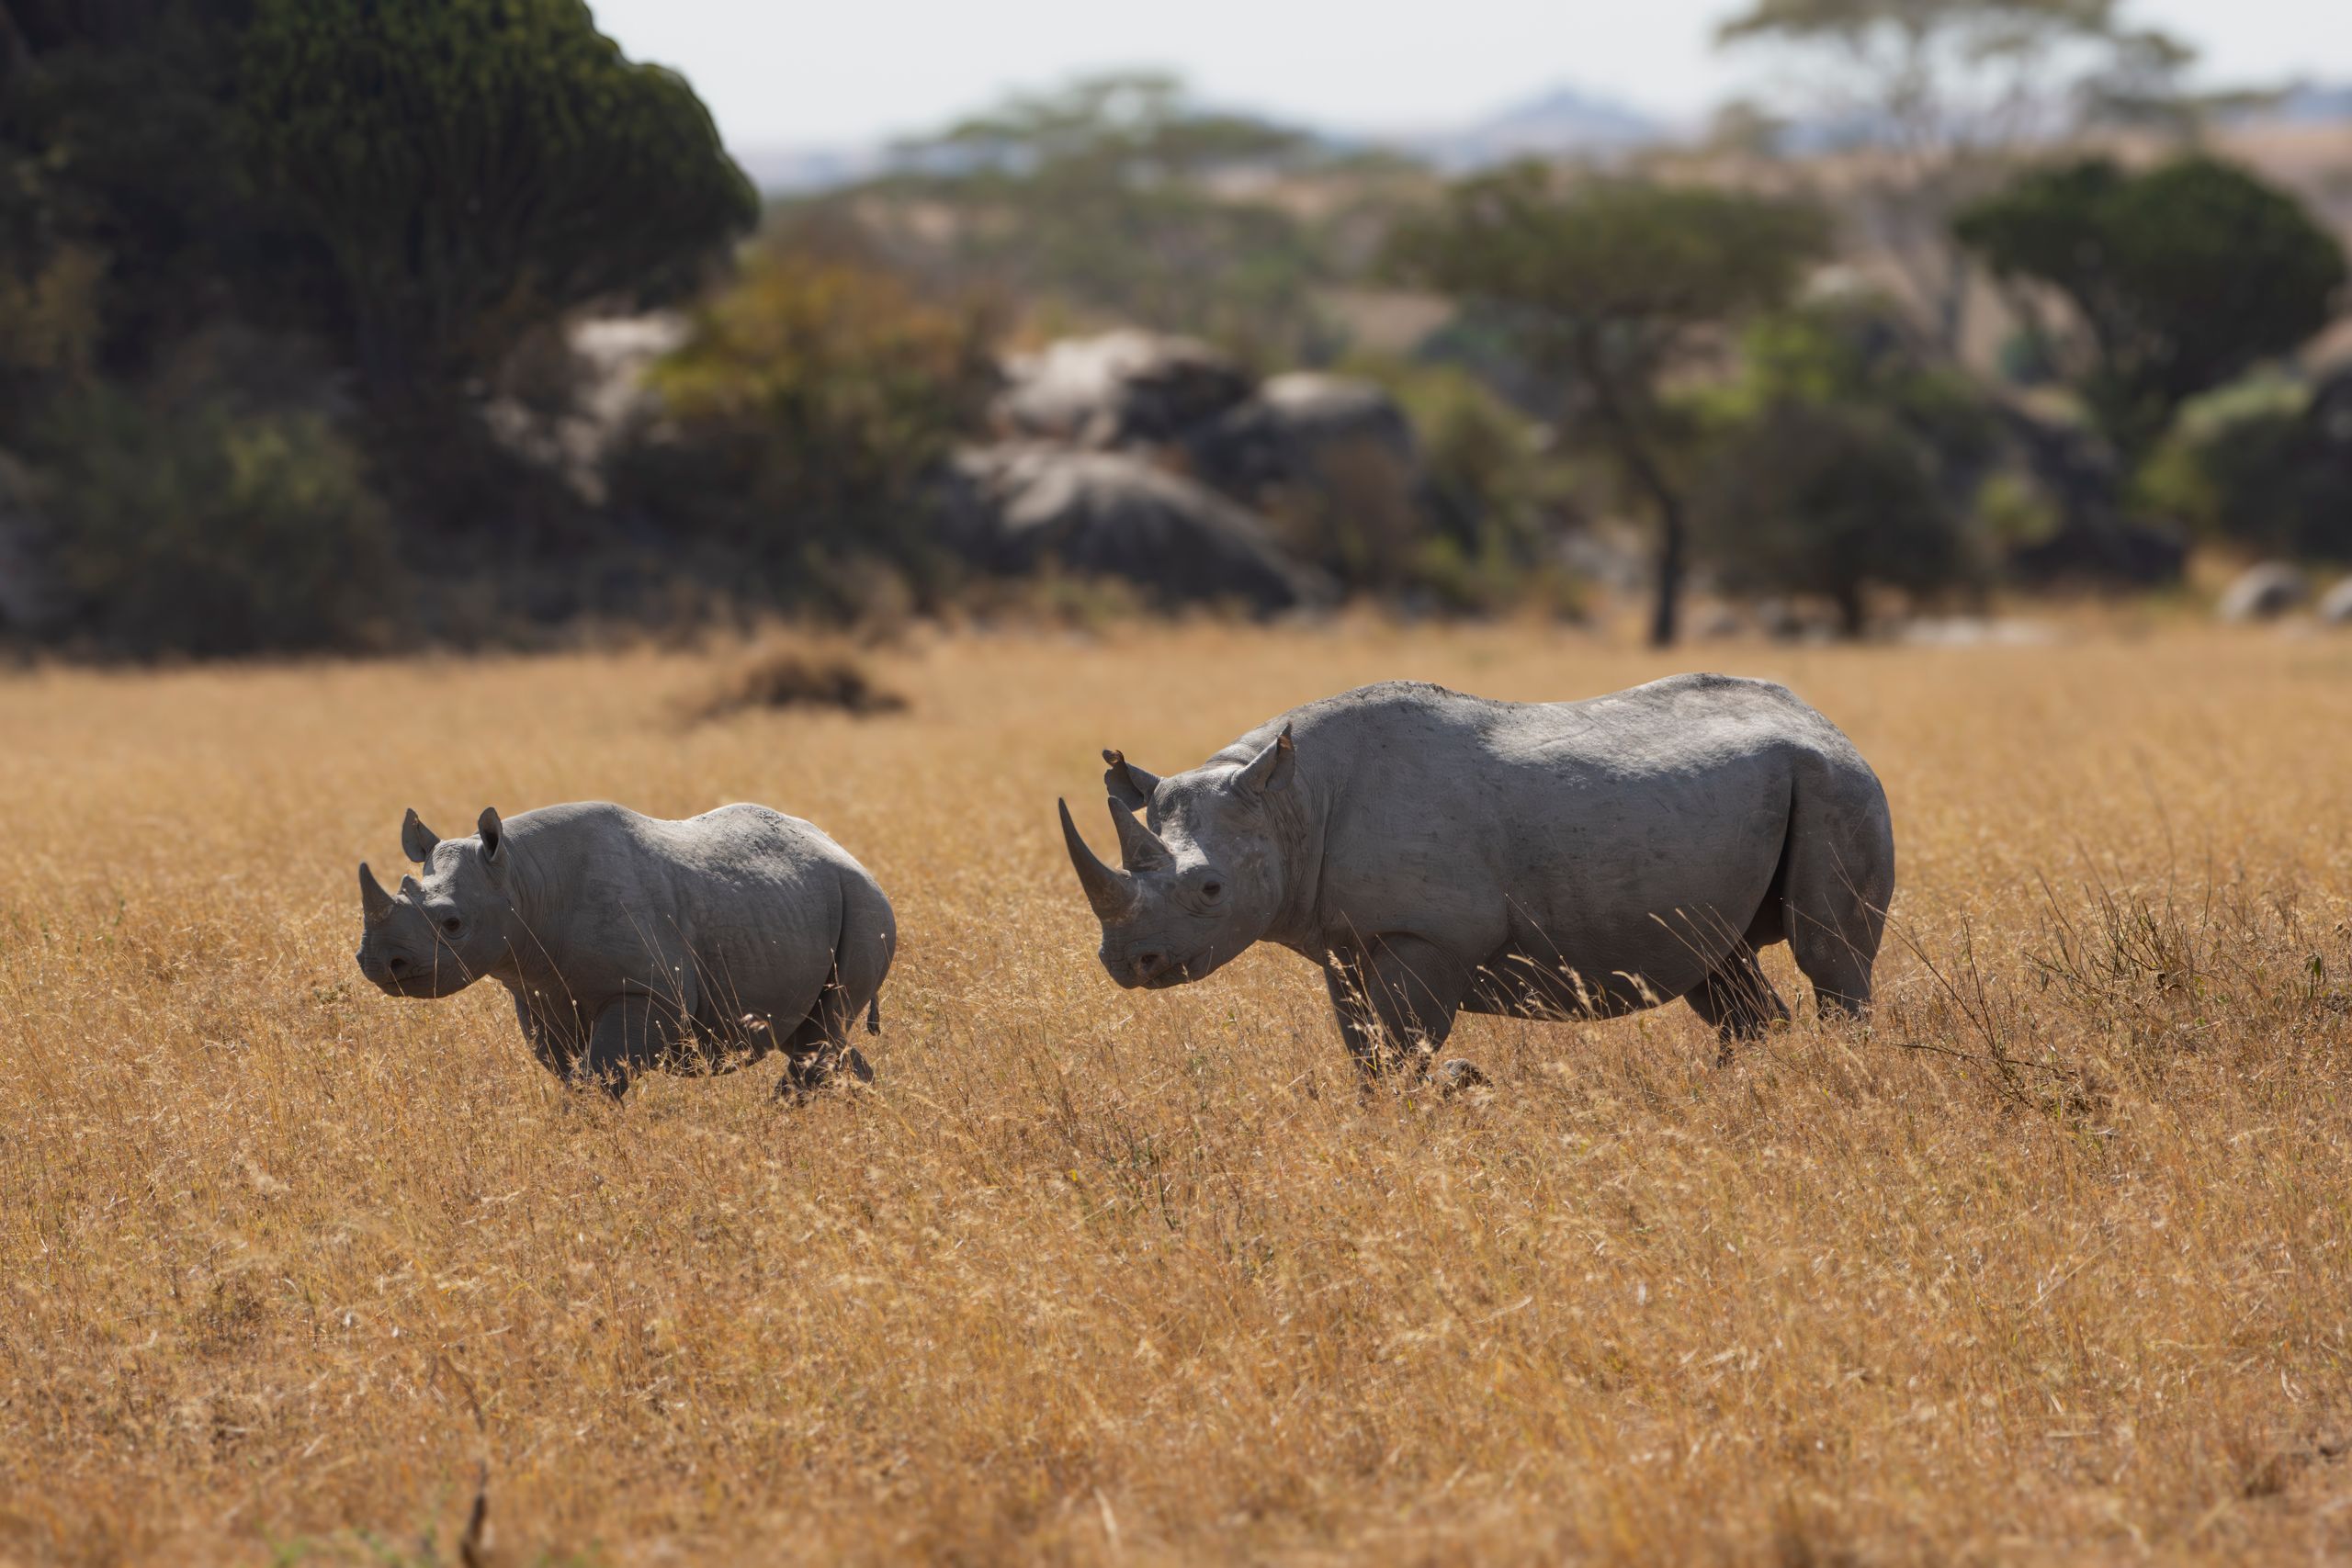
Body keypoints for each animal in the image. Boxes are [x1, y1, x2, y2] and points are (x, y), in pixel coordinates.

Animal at [355, 801, 895, 1100]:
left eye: (453, 925)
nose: (380, 963)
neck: (521, 880)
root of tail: (850, 854)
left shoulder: (645, 992)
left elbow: (601, 1074)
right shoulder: (538, 993)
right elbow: (574, 1074)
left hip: (866, 906)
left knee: (821, 1033)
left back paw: (784, 1114)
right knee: (811, 1037)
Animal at [1058, 676, 1894, 1080]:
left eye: (1210, 891)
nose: (1129, 964)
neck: (1289, 799)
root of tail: (1824, 721)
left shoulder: (1429, 934)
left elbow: (1405, 1047)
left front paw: (1444, 1089)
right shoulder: (1345, 940)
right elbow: (1366, 1050)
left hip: (1838, 783)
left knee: (1831, 956)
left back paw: (1838, 1073)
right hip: (1767, 793)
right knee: (1719, 965)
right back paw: (1736, 1090)